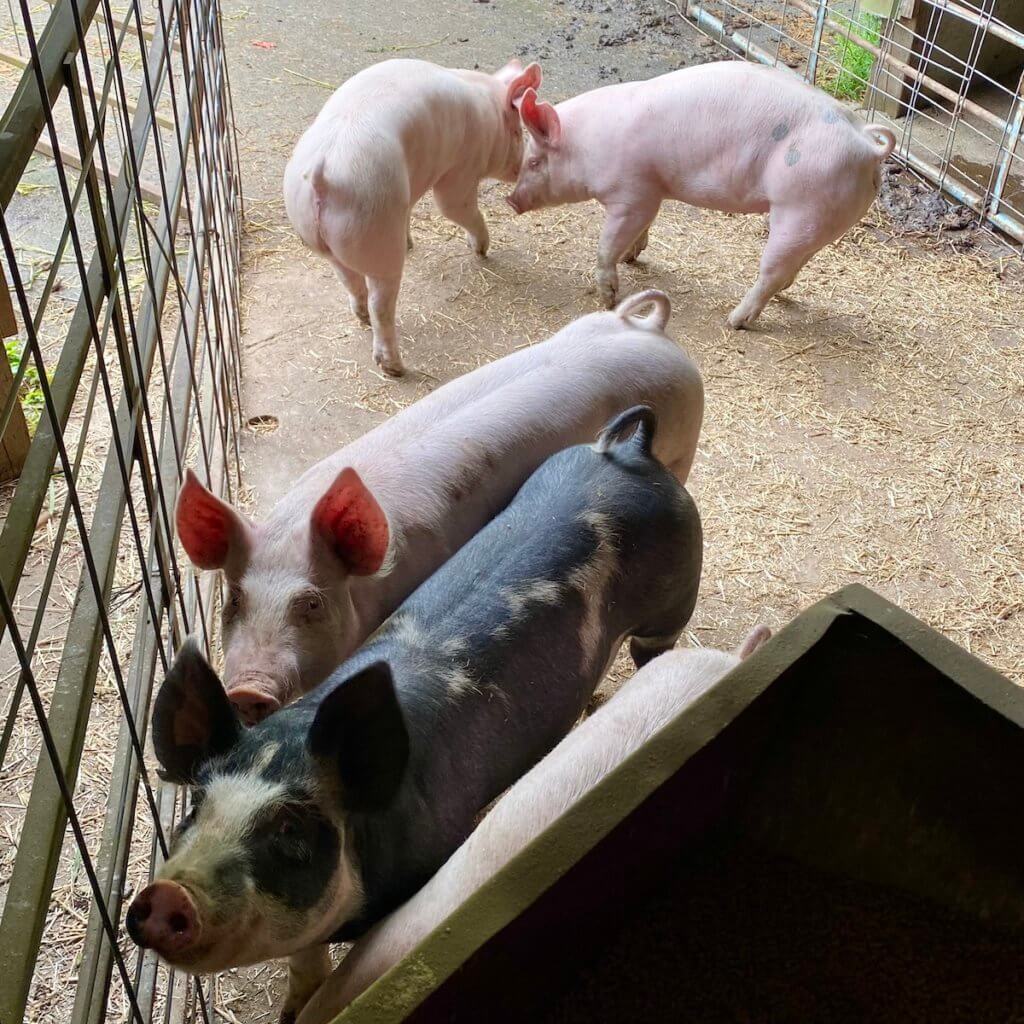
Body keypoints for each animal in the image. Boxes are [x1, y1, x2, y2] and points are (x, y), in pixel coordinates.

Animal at [125, 407, 704, 1024]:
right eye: (195, 806)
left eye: (289, 826)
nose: (165, 897)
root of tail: (629, 454)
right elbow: (304, 958)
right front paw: (292, 1009)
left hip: (672, 600)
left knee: (655, 647)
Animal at [280, 57, 536, 376]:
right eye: (517, 131)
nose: (521, 166)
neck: (486, 111)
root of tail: (323, 174)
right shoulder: (460, 170)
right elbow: (455, 206)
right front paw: (481, 250)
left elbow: (410, 211)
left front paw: (411, 241)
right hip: (377, 233)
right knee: (381, 303)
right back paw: (395, 367)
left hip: (323, 235)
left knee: (350, 282)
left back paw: (363, 317)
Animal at [505, 59, 897, 329]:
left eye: (535, 161)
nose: (511, 200)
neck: (587, 146)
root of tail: (867, 146)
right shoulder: (652, 191)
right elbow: (642, 229)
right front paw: (633, 256)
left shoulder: (632, 193)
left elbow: (608, 244)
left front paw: (609, 298)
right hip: (820, 219)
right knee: (795, 265)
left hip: (798, 209)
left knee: (771, 272)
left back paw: (735, 321)